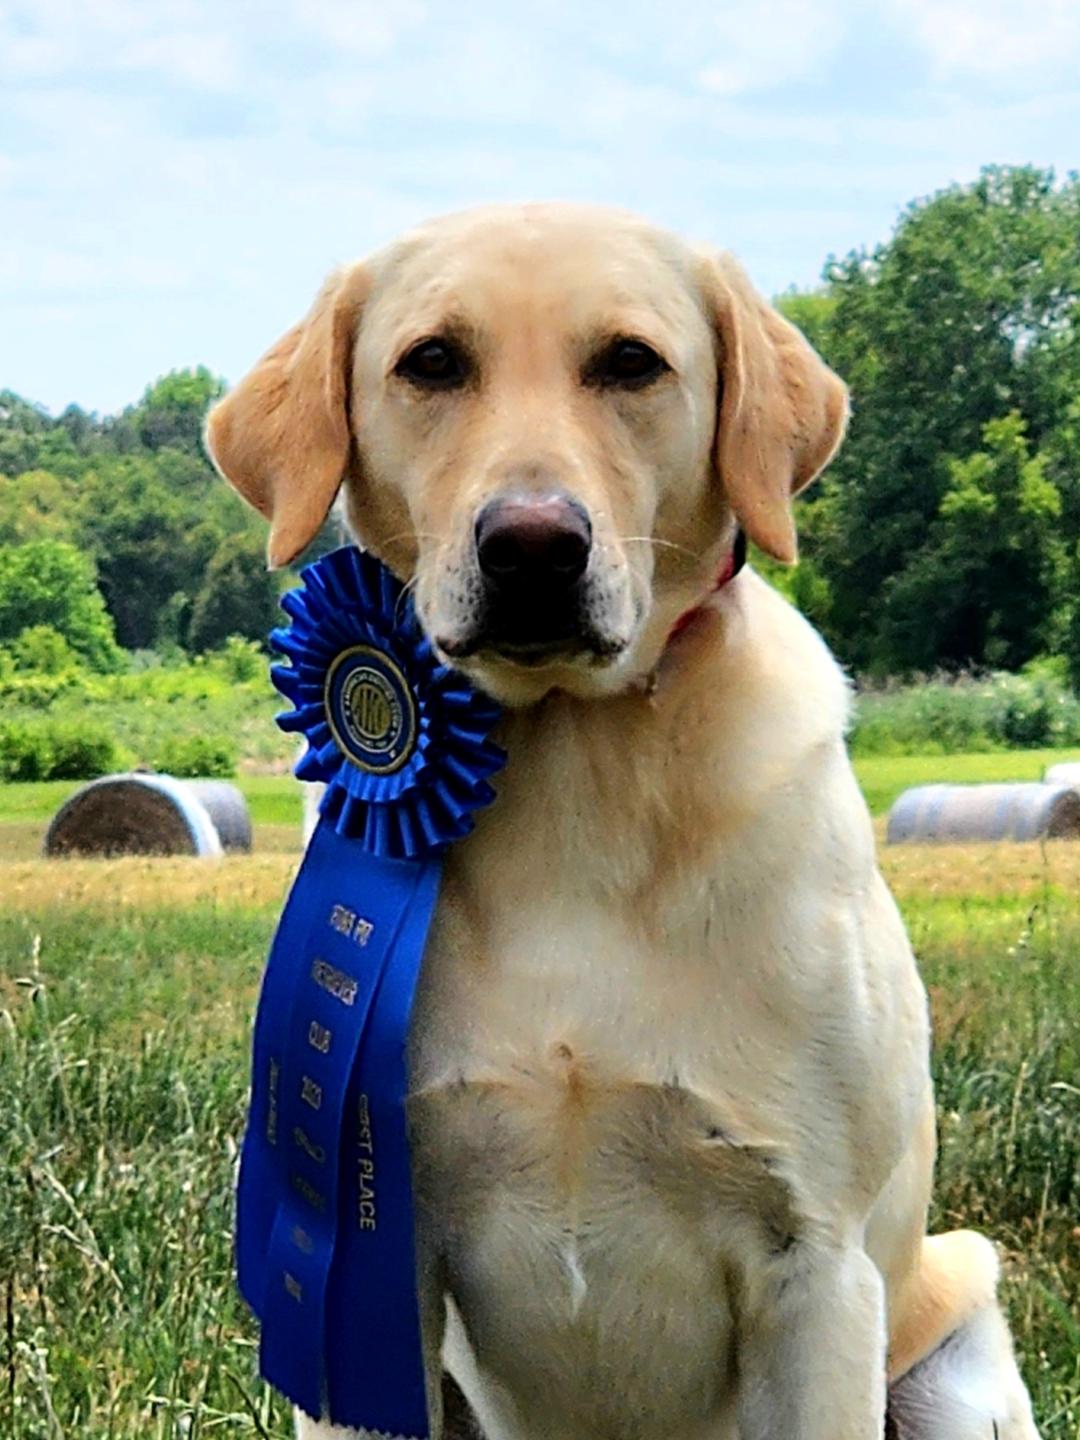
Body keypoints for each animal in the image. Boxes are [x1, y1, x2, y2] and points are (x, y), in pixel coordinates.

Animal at [206, 204, 1041, 1440]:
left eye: (632, 364)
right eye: (431, 363)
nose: (532, 545)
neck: (572, 767)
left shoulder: (817, 1268)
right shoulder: (363, 1268)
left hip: (956, 1331)